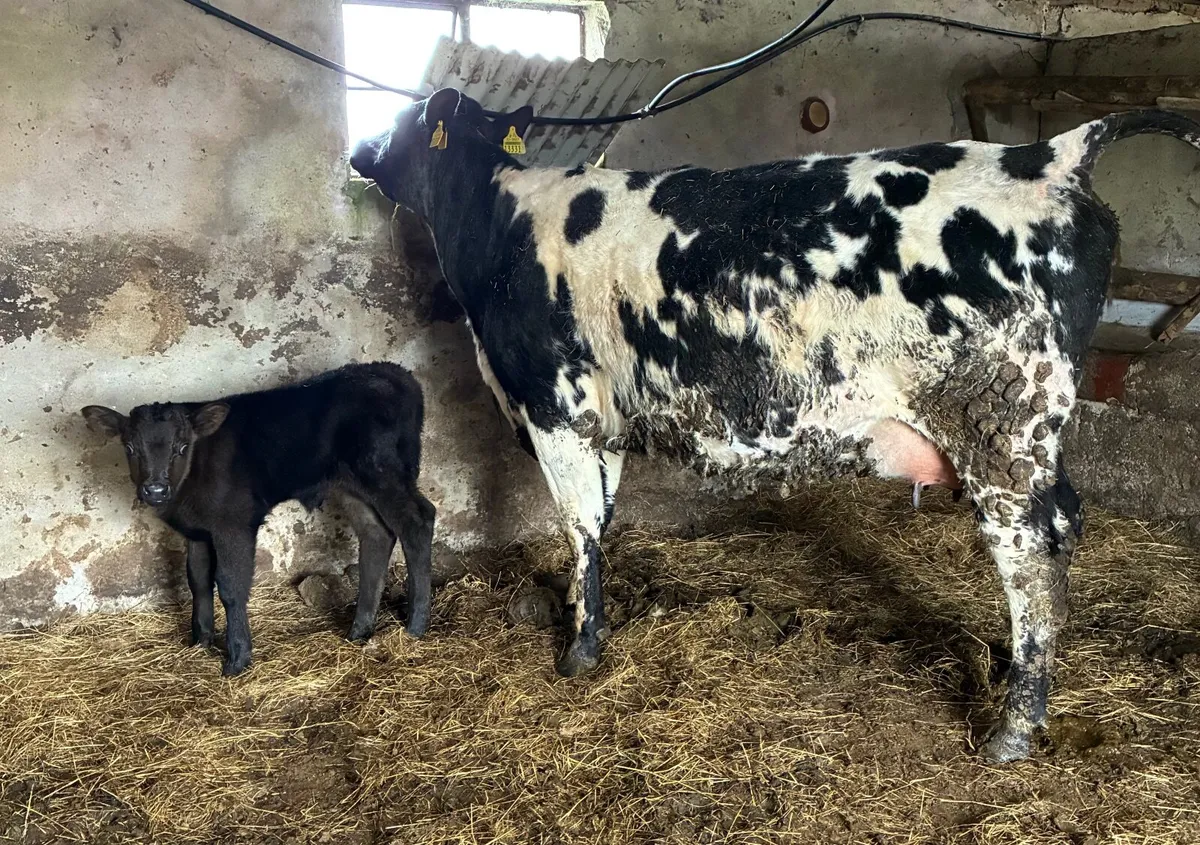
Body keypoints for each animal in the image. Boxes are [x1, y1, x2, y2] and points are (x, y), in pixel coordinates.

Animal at [81, 362, 435, 676]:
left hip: (382, 469)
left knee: (417, 520)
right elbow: (197, 581)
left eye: (181, 447)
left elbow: (230, 586)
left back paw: (415, 625)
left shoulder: (234, 524)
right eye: (129, 447)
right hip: (349, 484)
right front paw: (200, 641)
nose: (155, 489)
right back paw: (360, 630)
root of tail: (395, 373)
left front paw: (237, 658)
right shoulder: (197, 532)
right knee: (376, 533)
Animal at [350, 87, 1200, 761]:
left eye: (403, 119)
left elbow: (580, 524)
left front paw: (579, 650)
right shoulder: (607, 418)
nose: (359, 149)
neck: (497, 223)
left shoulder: (555, 402)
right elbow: (604, 515)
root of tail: (1051, 154)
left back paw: (1014, 728)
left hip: (1000, 423)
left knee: (1032, 549)